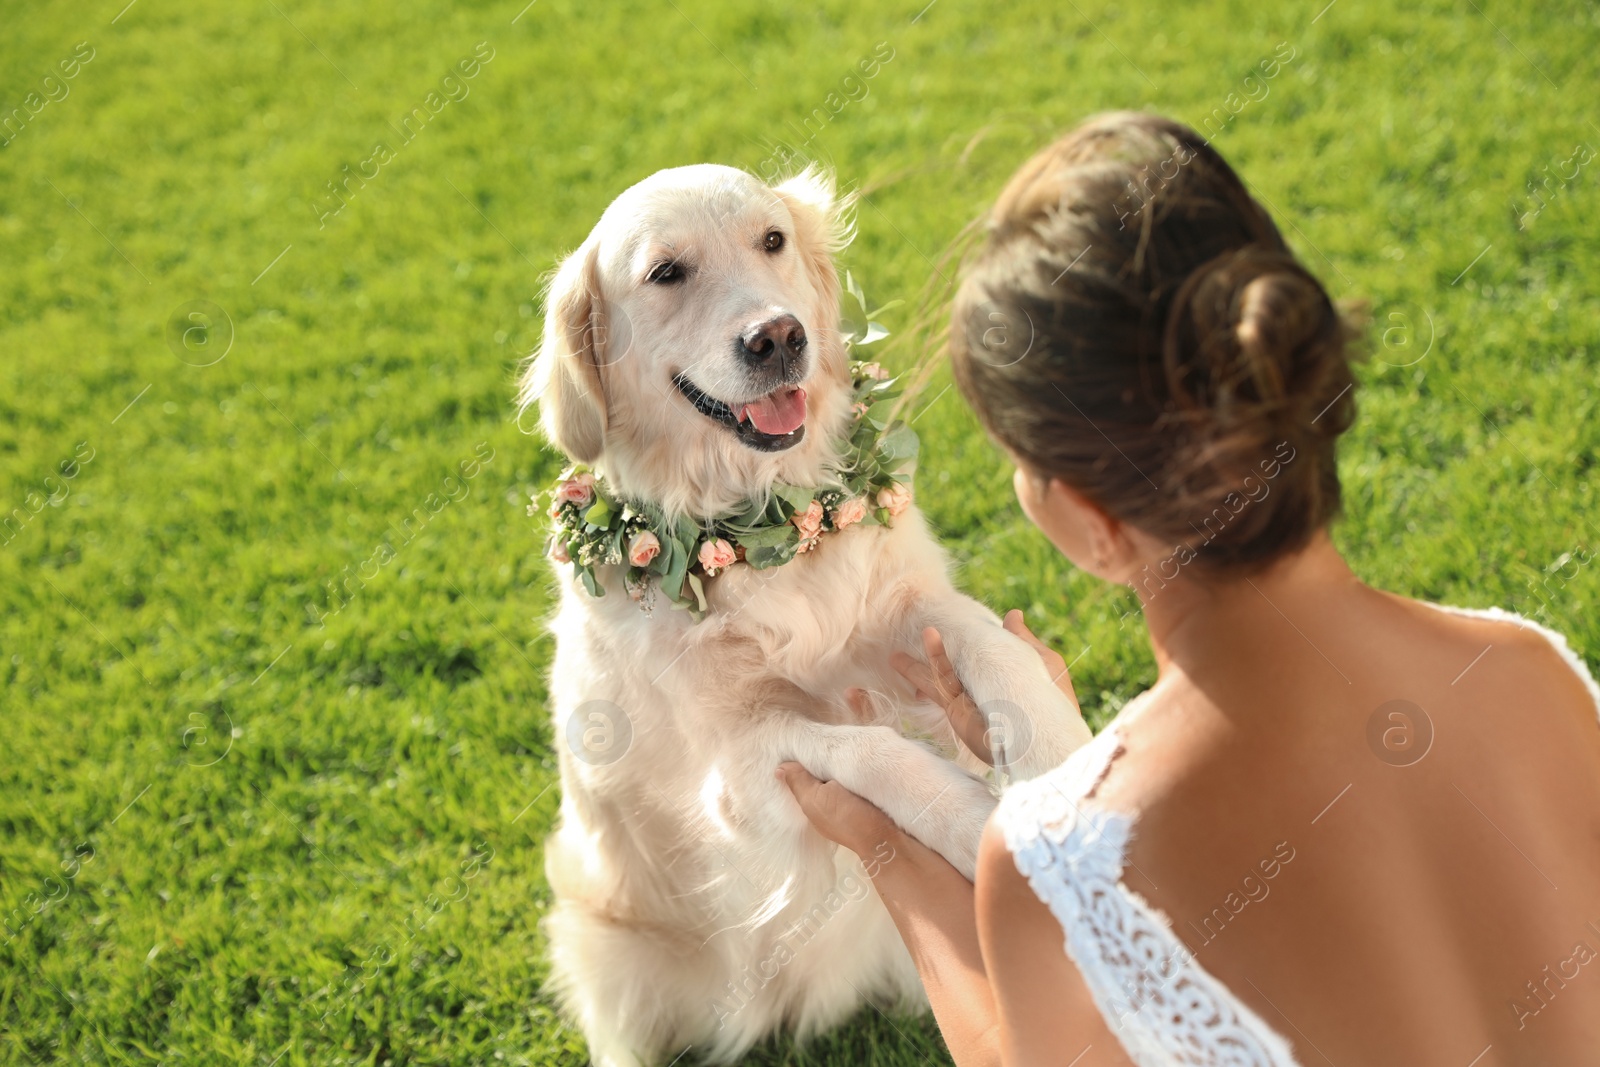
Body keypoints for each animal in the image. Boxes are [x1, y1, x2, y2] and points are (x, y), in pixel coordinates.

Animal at [518, 167, 1094, 1067]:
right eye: (666, 273)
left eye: (773, 241)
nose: (778, 336)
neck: (758, 530)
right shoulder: (733, 766)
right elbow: (870, 751)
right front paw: (973, 821)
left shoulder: (904, 608)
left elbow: (998, 648)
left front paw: (1061, 755)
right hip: (600, 942)